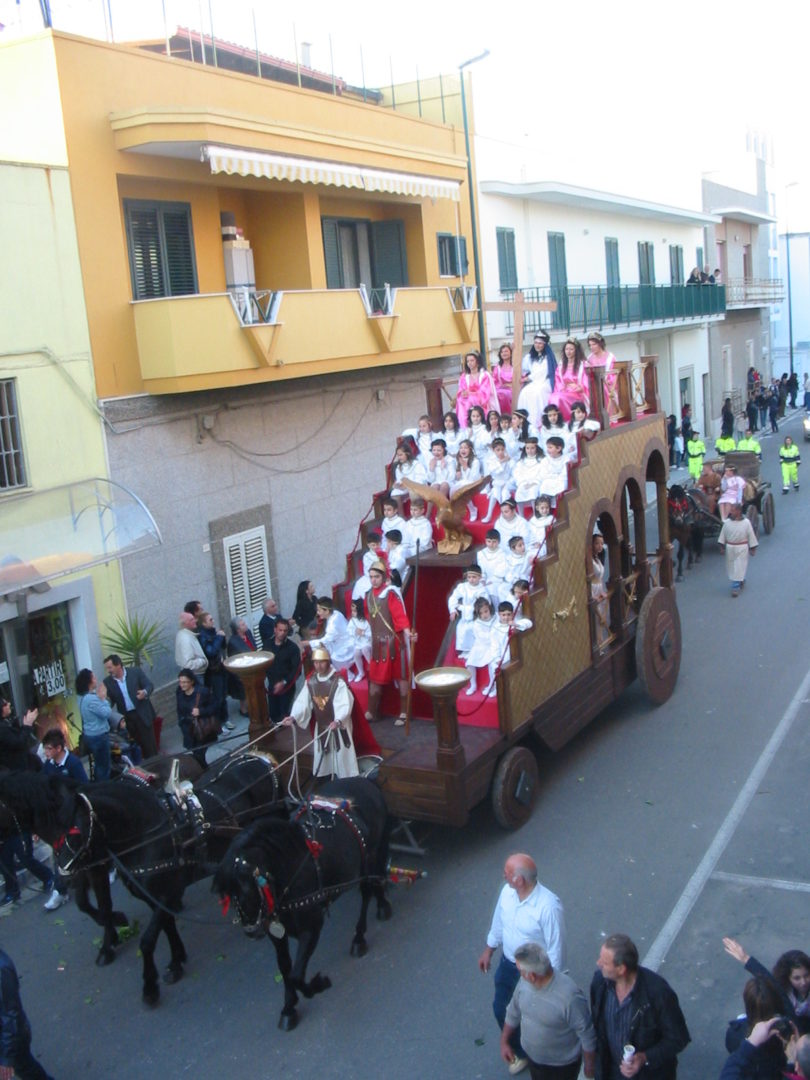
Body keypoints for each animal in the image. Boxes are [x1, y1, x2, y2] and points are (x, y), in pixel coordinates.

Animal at [216, 777, 393, 1028]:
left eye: (251, 888)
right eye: (230, 896)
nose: (252, 931)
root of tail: (366, 781)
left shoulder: (312, 927)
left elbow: (297, 974)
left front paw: (318, 984)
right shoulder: (276, 934)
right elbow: (285, 968)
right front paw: (288, 1007)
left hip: (369, 859)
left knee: (367, 891)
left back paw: (360, 937)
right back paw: (381, 904)